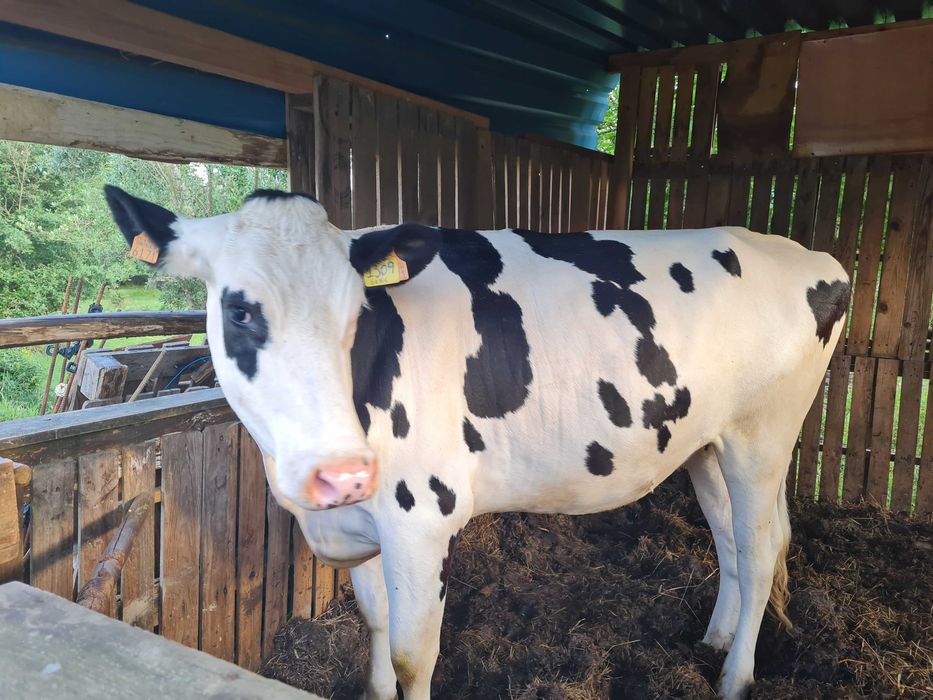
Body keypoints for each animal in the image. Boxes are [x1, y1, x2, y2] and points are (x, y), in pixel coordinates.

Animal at [104, 185, 849, 700]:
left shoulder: (419, 517)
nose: (339, 474)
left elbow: (413, 653)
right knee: (731, 538)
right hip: (706, 443)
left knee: (760, 549)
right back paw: (714, 640)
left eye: (355, 315)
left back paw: (736, 678)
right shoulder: (366, 521)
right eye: (239, 310)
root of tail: (809, 255)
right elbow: (375, 622)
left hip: (762, 436)